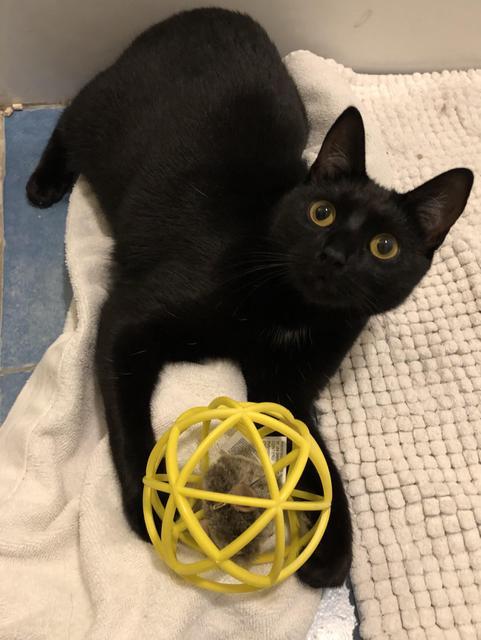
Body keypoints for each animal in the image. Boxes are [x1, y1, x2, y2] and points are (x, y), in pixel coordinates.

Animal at [24, 7, 470, 588]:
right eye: (321, 212)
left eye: (384, 247)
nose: (335, 255)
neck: (289, 307)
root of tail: (210, 12)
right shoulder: (127, 320)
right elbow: (128, 414)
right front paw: (151, 499)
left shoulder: (287, 385)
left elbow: (308, 445)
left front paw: (332, 545)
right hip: (107, 109)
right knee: (72, 114)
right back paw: (45, 181)